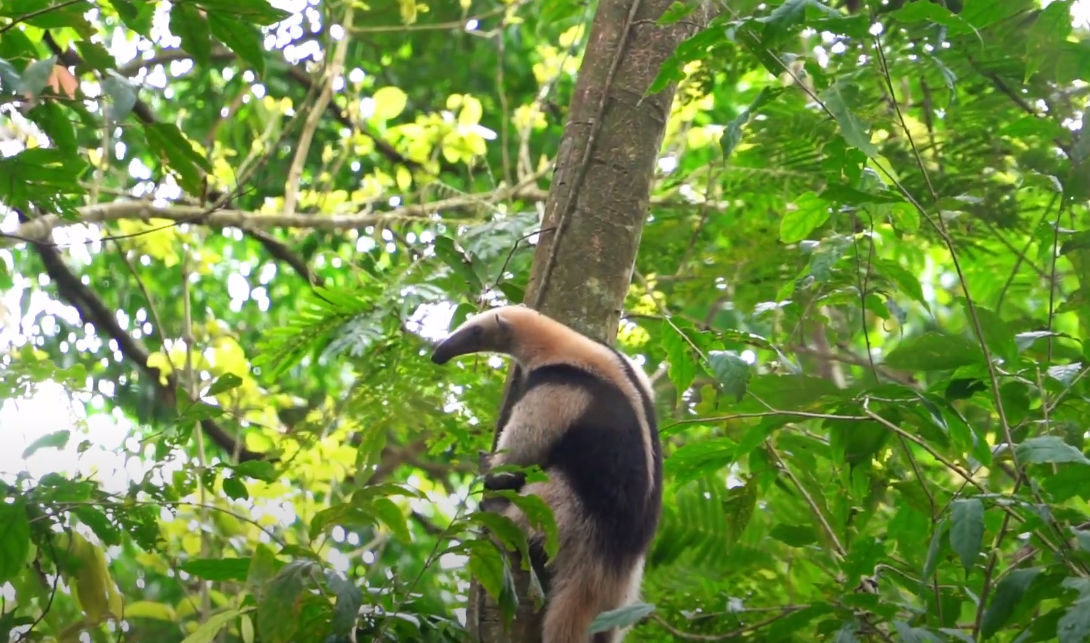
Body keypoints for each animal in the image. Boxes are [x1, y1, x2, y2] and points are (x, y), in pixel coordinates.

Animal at [430, 305, 662, 643]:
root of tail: (608, 565)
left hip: (573, 516)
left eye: (475, 331)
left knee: (540, 503)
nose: (439, 354)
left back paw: (499, 510)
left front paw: (489, 467)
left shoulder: (559, 390)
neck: (571, 348)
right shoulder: (632, 369)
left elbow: (524, 446)